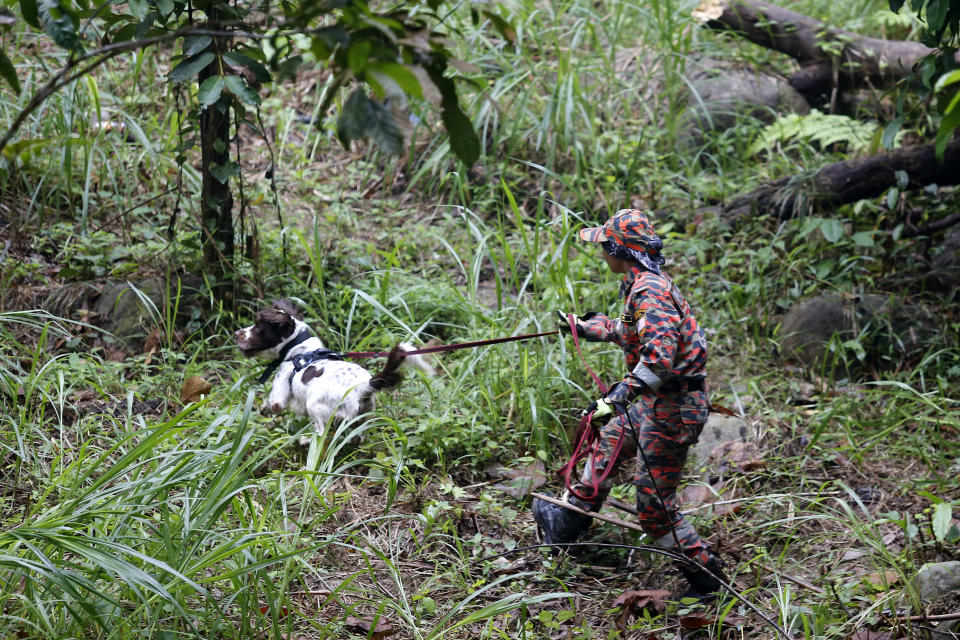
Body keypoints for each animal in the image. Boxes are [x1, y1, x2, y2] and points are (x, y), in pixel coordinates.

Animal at [236, 298, 436, 440]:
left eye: (258, 327)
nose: (236, 333)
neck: (299, 349)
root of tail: (364, 386)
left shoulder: (281, 390)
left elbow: (273, 404)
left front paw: (263, 410)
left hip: (317, 407)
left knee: (321, 434)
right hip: (360, 416)